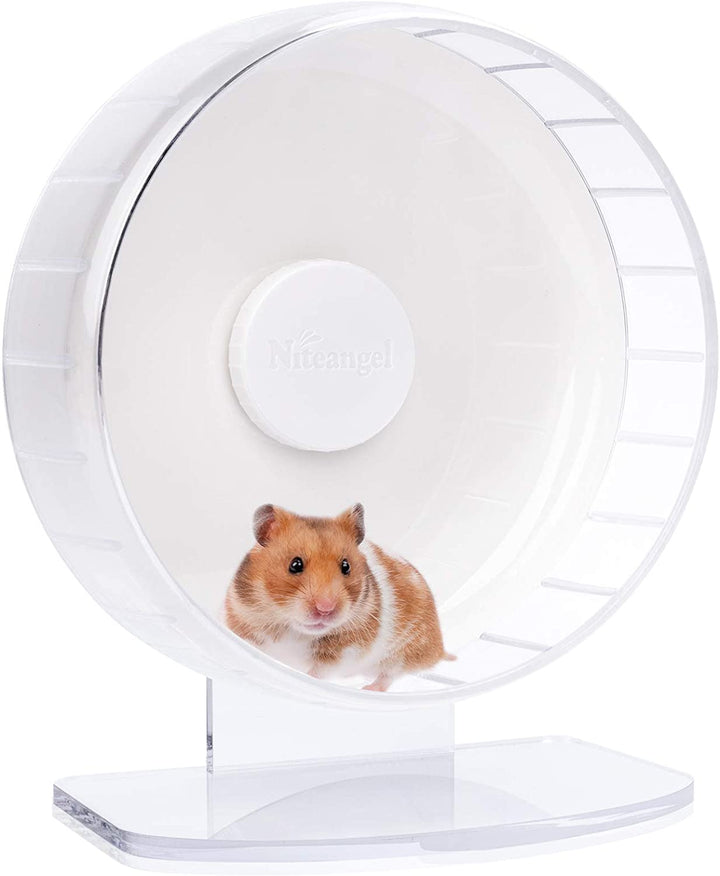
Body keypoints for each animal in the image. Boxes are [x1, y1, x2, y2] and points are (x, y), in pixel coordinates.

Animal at [224, 503, 454, 691]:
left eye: (346, 566)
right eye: (295, 564)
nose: (325, 608)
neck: (293, 630)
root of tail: (439, 648)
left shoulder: (343, 652)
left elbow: (318, 672)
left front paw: (306, 680)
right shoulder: (242, 625)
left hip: (405, 653)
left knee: (388, 676)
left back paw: (369, 689)